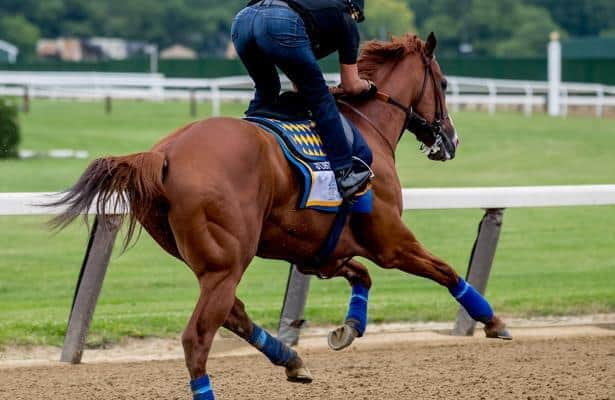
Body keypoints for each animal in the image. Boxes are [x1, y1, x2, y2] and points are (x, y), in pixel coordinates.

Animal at [53, 32, 512, 398]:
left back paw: (291, 359)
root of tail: (162, 154)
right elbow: (446, 270)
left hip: (211, 262)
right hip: (227, 262)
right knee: (198, 337)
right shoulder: (391, 242)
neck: (366, 127)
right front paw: (493, 321)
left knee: (234, 314)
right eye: (444, 82)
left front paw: (348, 328)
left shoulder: (319, 251)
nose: (451, 139)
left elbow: (362, 275)